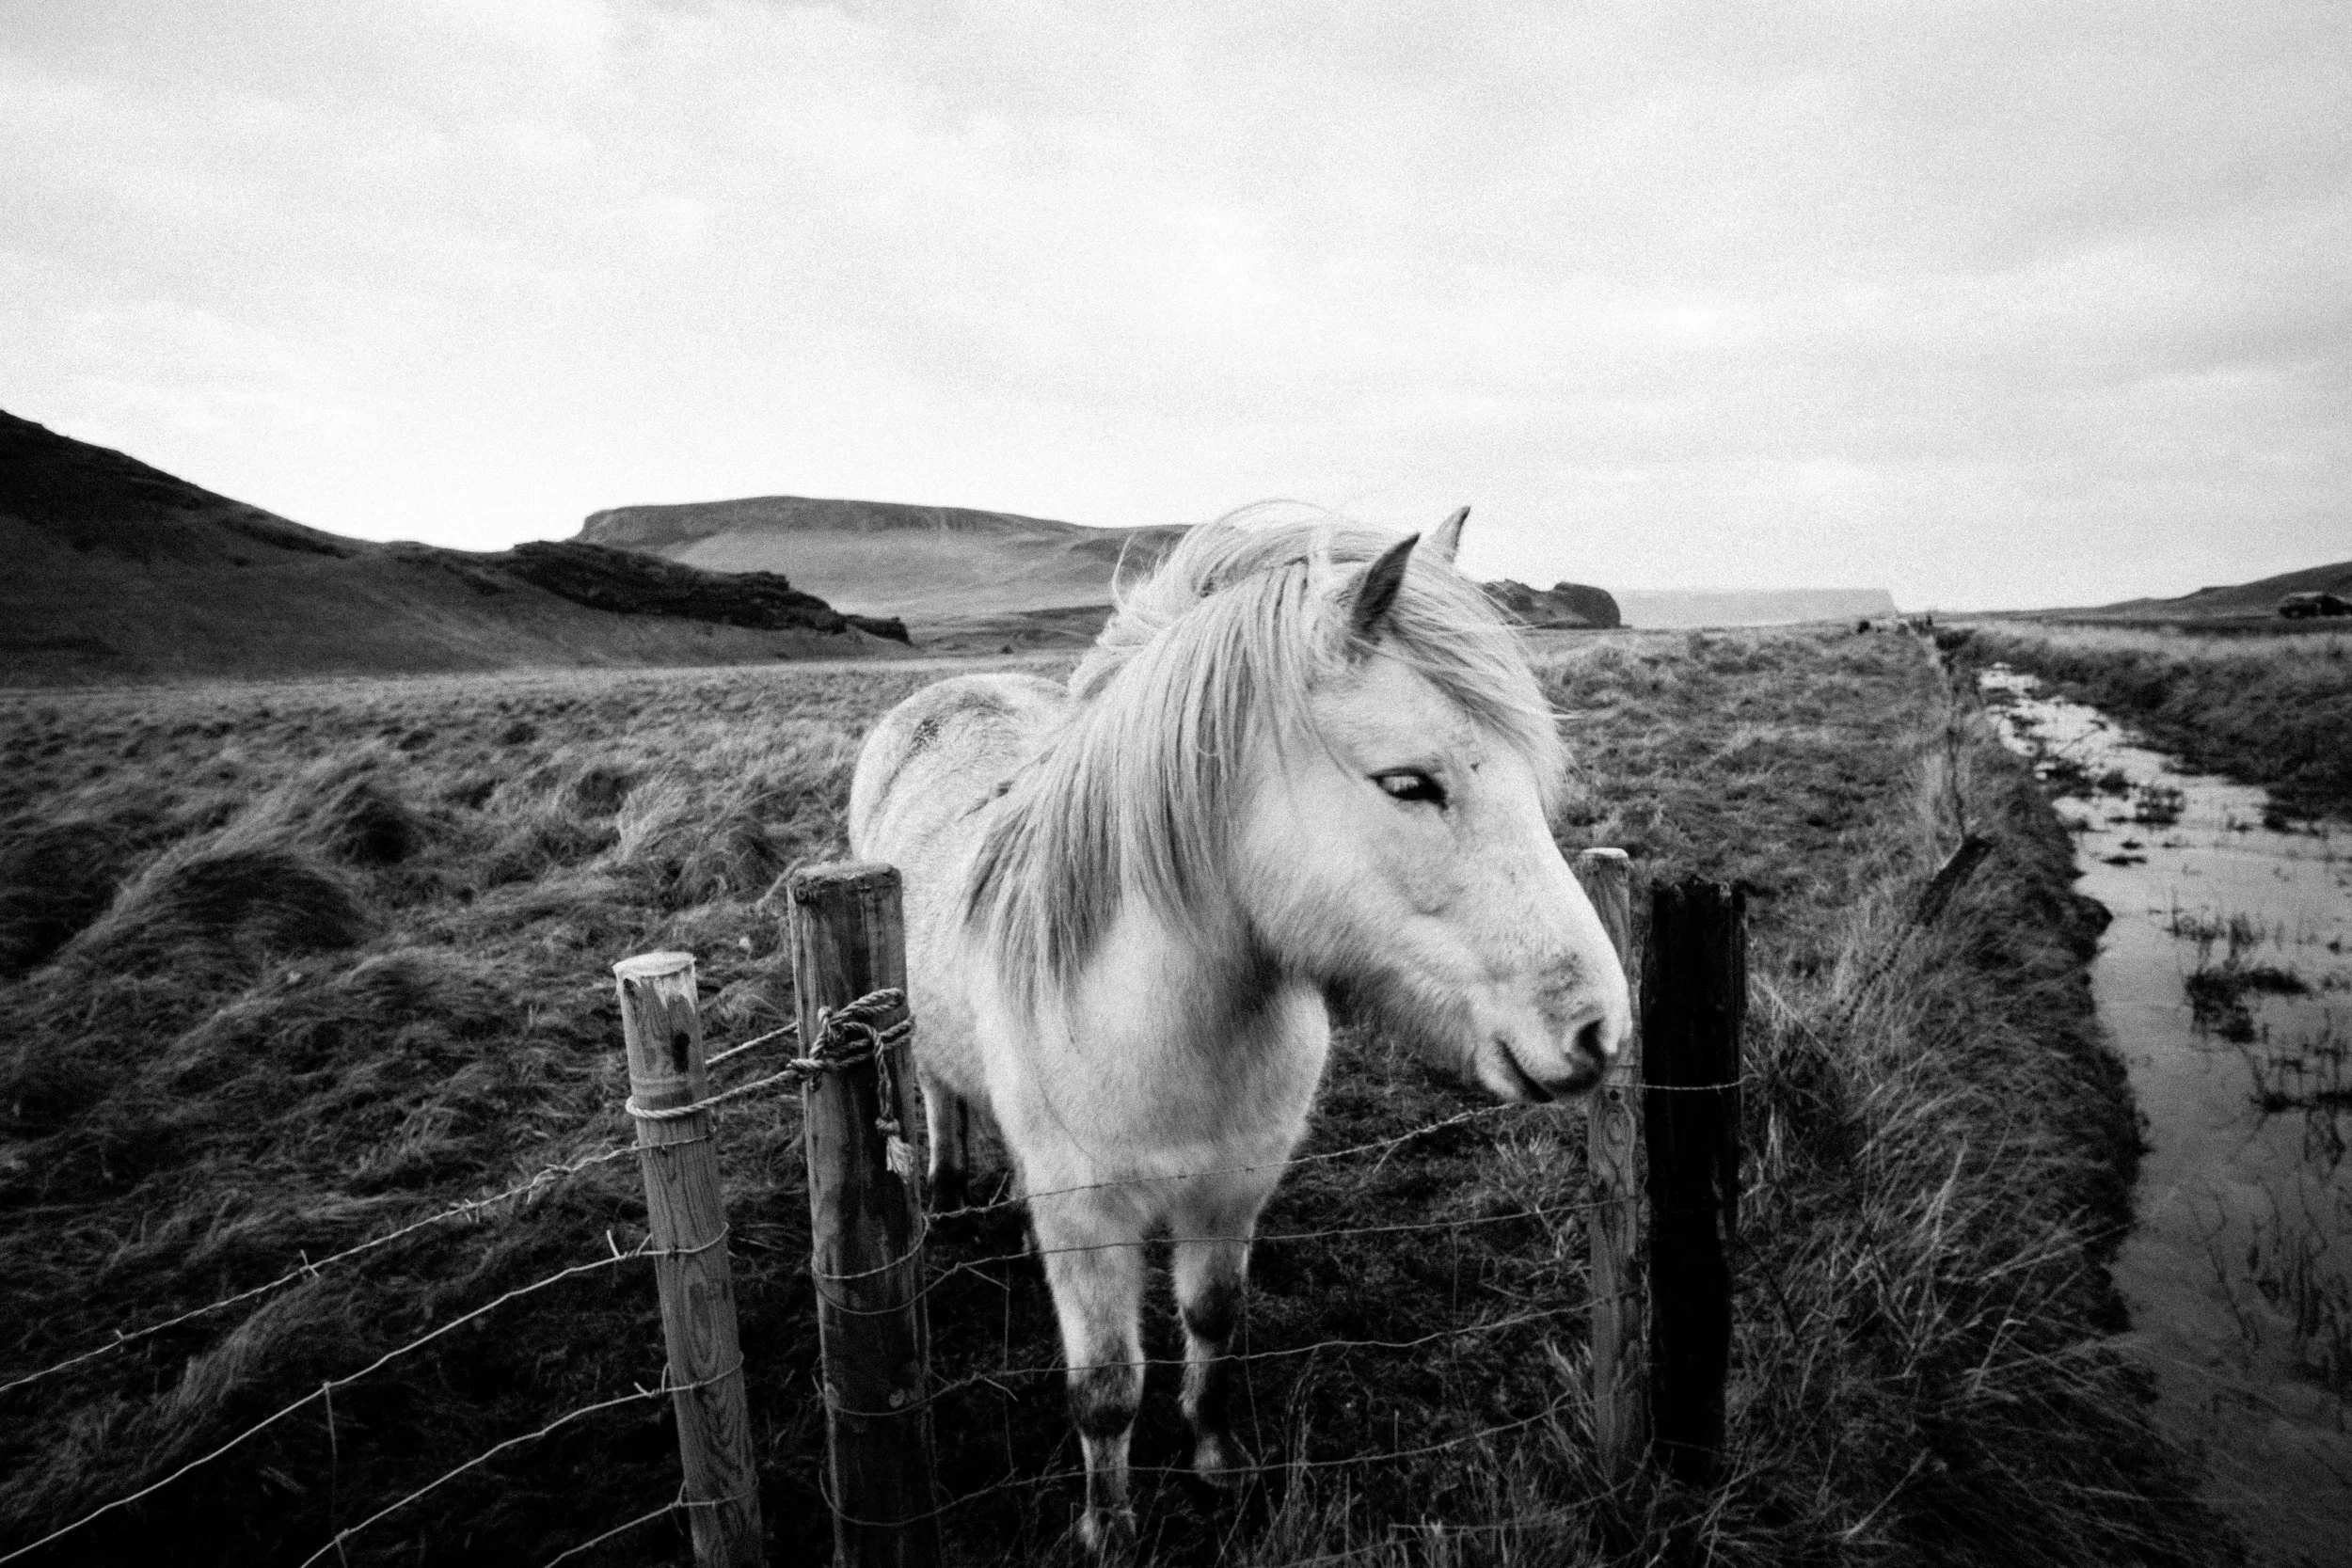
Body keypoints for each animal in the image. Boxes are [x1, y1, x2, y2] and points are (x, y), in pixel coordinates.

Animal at [846, 509, 1632, 1555]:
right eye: (1408, 783)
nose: (1598, 1029)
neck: (1164, 1028)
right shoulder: (1089, 1220)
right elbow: (1105, 1390)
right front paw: (1110, 1528)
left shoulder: (1235, 1183)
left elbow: (1213, 1316)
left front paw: (1217, 1459)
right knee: (937, 1087)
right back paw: (941, 1184)